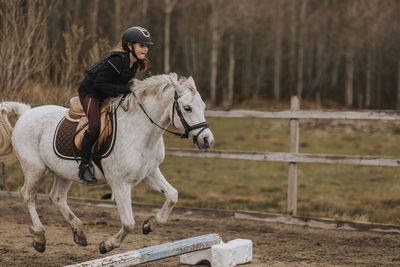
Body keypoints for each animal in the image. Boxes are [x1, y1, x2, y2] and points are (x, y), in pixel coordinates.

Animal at [0, 73, 214, 253]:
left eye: (203, 107)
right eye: (187, 108)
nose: (207, 140)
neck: (142, 132)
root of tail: (25, 113)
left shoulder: (150, 173)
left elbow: (172, 196)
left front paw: (150, 224)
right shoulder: (120, 184)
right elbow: (128, 223)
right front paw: (107, 245)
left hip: (63, 171)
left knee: (57, 197)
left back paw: (79, 233)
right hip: (36, 169)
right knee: (28, 195)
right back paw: (39, 238)